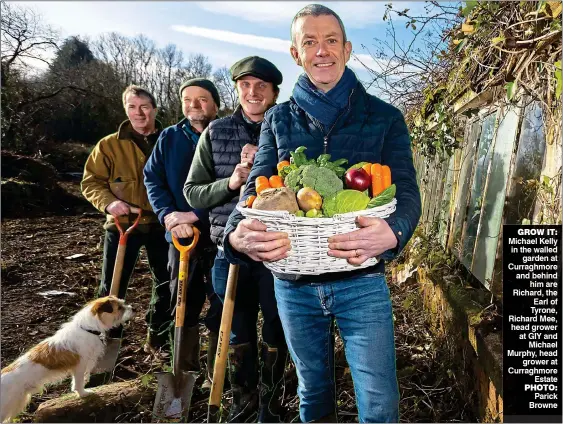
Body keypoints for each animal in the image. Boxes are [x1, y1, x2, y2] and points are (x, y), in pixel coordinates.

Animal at [0, 296, 133, 422]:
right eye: (119, 308)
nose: (133, 309)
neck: (87, 328)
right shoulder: (80, 366)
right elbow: (78, 382)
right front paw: (83, 394)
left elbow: (84, 377)